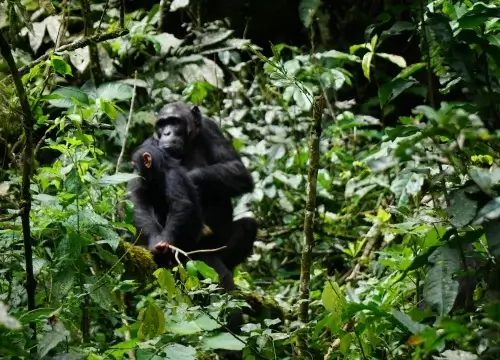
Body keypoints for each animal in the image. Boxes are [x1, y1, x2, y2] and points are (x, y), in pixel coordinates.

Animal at [137, 100, 258, 290]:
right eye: (162, 124)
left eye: (174, 121)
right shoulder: (148, 146)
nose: (166, 133)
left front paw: (186, 177)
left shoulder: (211, 128)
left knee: (248, 226)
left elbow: (237, 169)